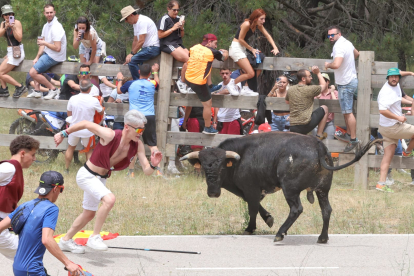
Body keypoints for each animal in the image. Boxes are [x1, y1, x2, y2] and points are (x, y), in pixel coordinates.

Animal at [181, 133, 382, 243]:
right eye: (204, 167)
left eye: (222, 167)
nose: (213, 193)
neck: (240, 158)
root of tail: (317, 144)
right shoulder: (250, 191)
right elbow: (254, 205)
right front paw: (268, 218)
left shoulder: (251, 189)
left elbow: (252, 208)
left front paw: (250, 228)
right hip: (322, 189)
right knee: (326, 210)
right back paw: (322, 238)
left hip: (290, 188)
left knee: (296, 209)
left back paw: (280, 234)